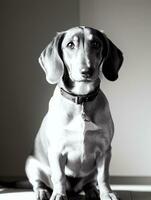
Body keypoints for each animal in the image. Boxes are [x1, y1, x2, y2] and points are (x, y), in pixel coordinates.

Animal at [25, 27, 123, 200]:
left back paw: (92, 191)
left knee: (90, 182)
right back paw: (42, 191)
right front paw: (58, 194)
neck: (81, 99)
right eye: (70, 44)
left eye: (96, 44)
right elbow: (59, 176)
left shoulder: (104, 151)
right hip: (31, 165)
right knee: (38, 183)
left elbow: (103, 176)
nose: (87, 71)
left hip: (90, 173)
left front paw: (107, 193)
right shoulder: (57, 151)